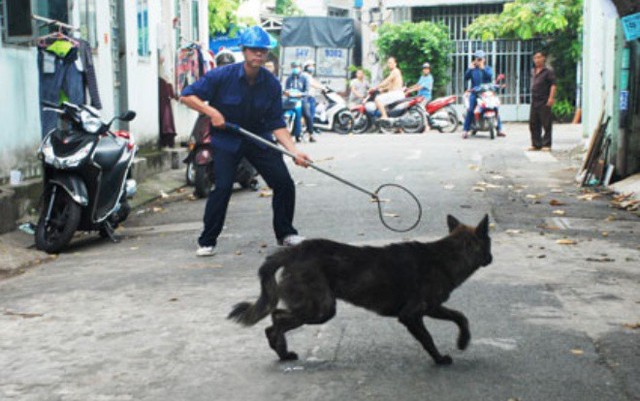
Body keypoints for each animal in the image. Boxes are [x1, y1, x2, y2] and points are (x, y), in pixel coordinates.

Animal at [228, 214, 492, 364]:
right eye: (489, 243)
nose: (491, 258)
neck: (445, 256)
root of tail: (294, 251)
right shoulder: (412, 315)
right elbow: (428, 338)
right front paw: (438, 359)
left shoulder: (433, 307)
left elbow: (461, 317)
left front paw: (463, 341)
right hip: (321, 309)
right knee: (276, 320)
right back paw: (280, 348)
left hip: (315, 308)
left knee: (275, 317)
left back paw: (281, 352)